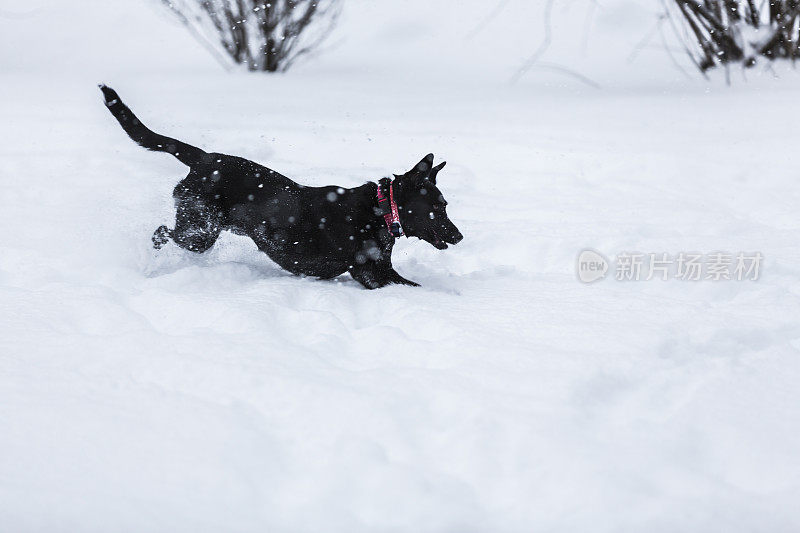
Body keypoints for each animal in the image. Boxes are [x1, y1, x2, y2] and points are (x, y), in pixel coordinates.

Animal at [100, 85, 462, 288]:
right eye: (438, 207)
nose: (459, 236)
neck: (380, 211)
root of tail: (203, 158)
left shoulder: (380, 270)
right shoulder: (372, 273)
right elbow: (416, 288)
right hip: (199, 230)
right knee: (161, 232)